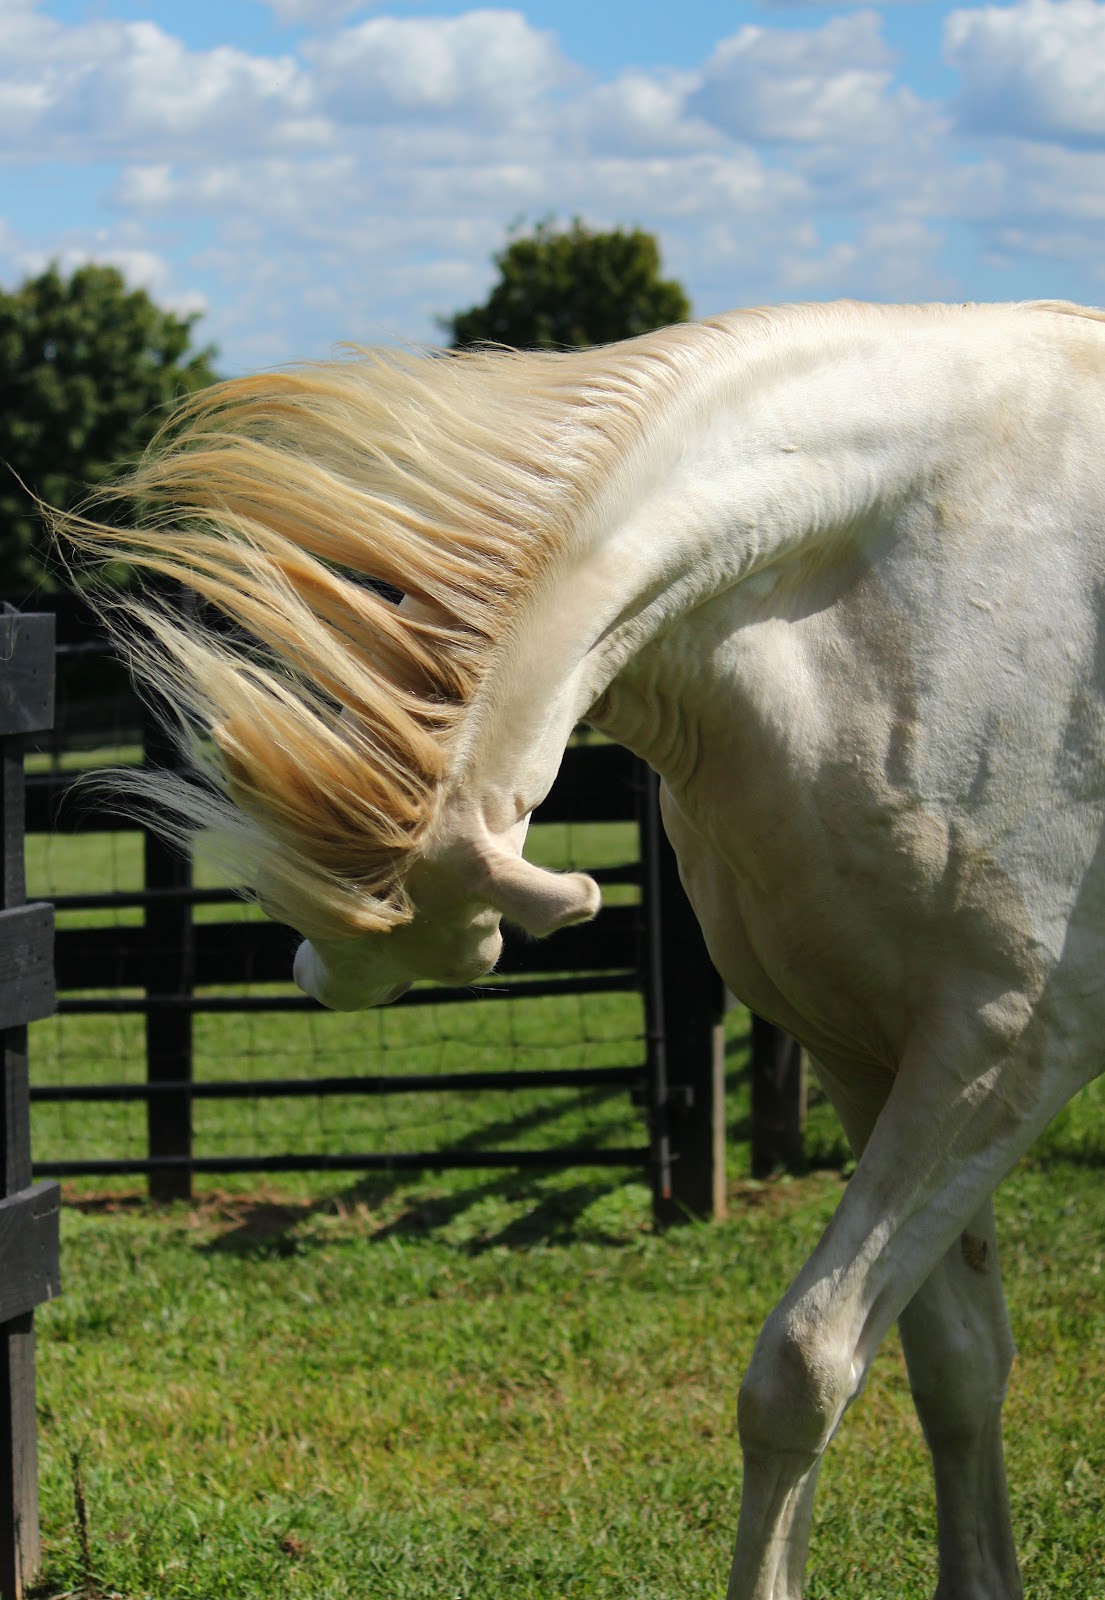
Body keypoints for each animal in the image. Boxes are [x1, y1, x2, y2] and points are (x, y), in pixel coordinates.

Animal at [60, 298, 1105, 1599]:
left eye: (462, 944)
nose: (307, 975)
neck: (898, 575)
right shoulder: (869, 1050)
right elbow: (955, 1362)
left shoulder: (1002, 1044)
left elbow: (802, 1367)